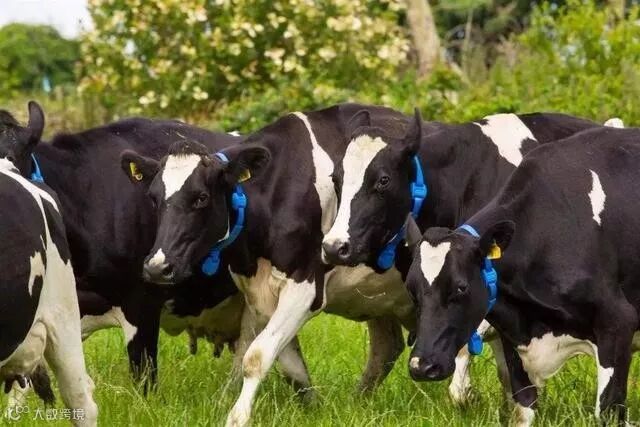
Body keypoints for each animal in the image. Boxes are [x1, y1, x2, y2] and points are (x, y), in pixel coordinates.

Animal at [403, 126, 640, 425]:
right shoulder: (512, 341)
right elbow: (523, 409)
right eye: (412, 290)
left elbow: (608, 411)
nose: (421, 366)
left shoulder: (618, 322)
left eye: (461, 287)